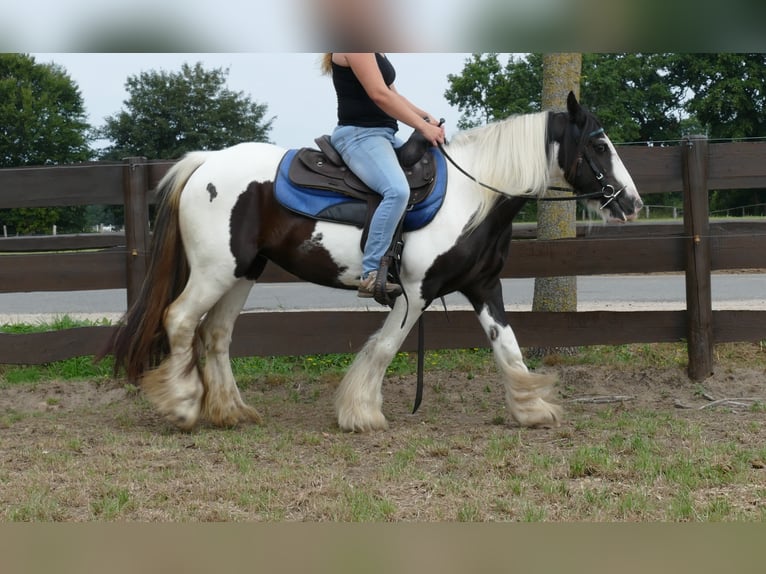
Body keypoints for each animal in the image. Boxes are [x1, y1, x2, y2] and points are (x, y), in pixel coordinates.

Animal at [108, 91, 644, 432]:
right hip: (215, 271)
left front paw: (532, 410)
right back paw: (183, 407)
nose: (633, 203)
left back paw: (231, 412)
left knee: (216, 334)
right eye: (599, 145)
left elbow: (508, 349)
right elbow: (385, 347)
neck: (473, 194)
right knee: (180, 320)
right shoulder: (415, 291)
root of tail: (206, 162)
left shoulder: (484, 287)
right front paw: (360, 412)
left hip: (242, 272)